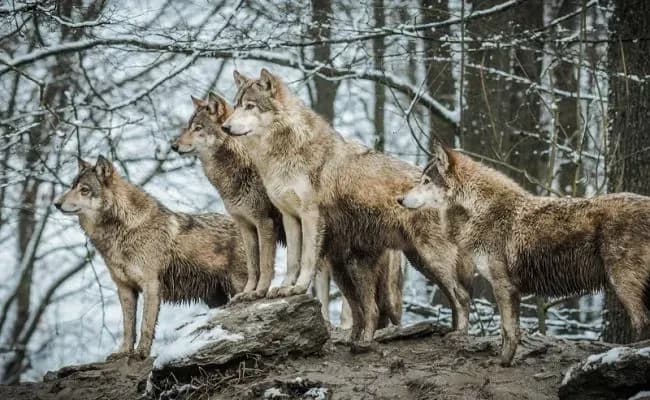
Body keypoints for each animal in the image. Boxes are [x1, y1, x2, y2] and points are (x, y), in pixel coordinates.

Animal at [54, 156, 248, 359]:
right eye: (71, 186)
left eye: (84, 190)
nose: (56, 204)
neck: (123, 230)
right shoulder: (125, 289)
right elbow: (128, 327)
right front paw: (124, 352)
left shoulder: (151, 286)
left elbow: (145, 325)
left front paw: (141, 353)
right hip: (214, 299)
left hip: (237, 286)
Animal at [172, 93, 404, 330]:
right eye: (187, 127)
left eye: (198, 128)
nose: (173, 146)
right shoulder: (246, 227)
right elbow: (253, 267)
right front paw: (247, 293)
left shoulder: (264, 223)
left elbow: (265, 265)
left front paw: (259, 293)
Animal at [222, 69, 471, 343]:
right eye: (235, 105)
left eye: (250, 106)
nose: (225, 127)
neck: (282, 153)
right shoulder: (290, 217)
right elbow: (292, 260)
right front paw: (286, 287)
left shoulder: (310, 216)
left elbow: (306, 258)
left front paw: (299, 287)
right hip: (413, 262)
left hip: (429, 259)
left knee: (462, 296)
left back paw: (459, 334)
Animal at [400, 144, 650, 365]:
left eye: (426, 181)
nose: (399, 200)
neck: (479, 210)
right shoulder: (510, 289)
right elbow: (511, 330)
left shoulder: (503, 285)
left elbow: (508, 330)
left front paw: (503, 362)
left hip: (623, 284)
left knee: (642, 321)